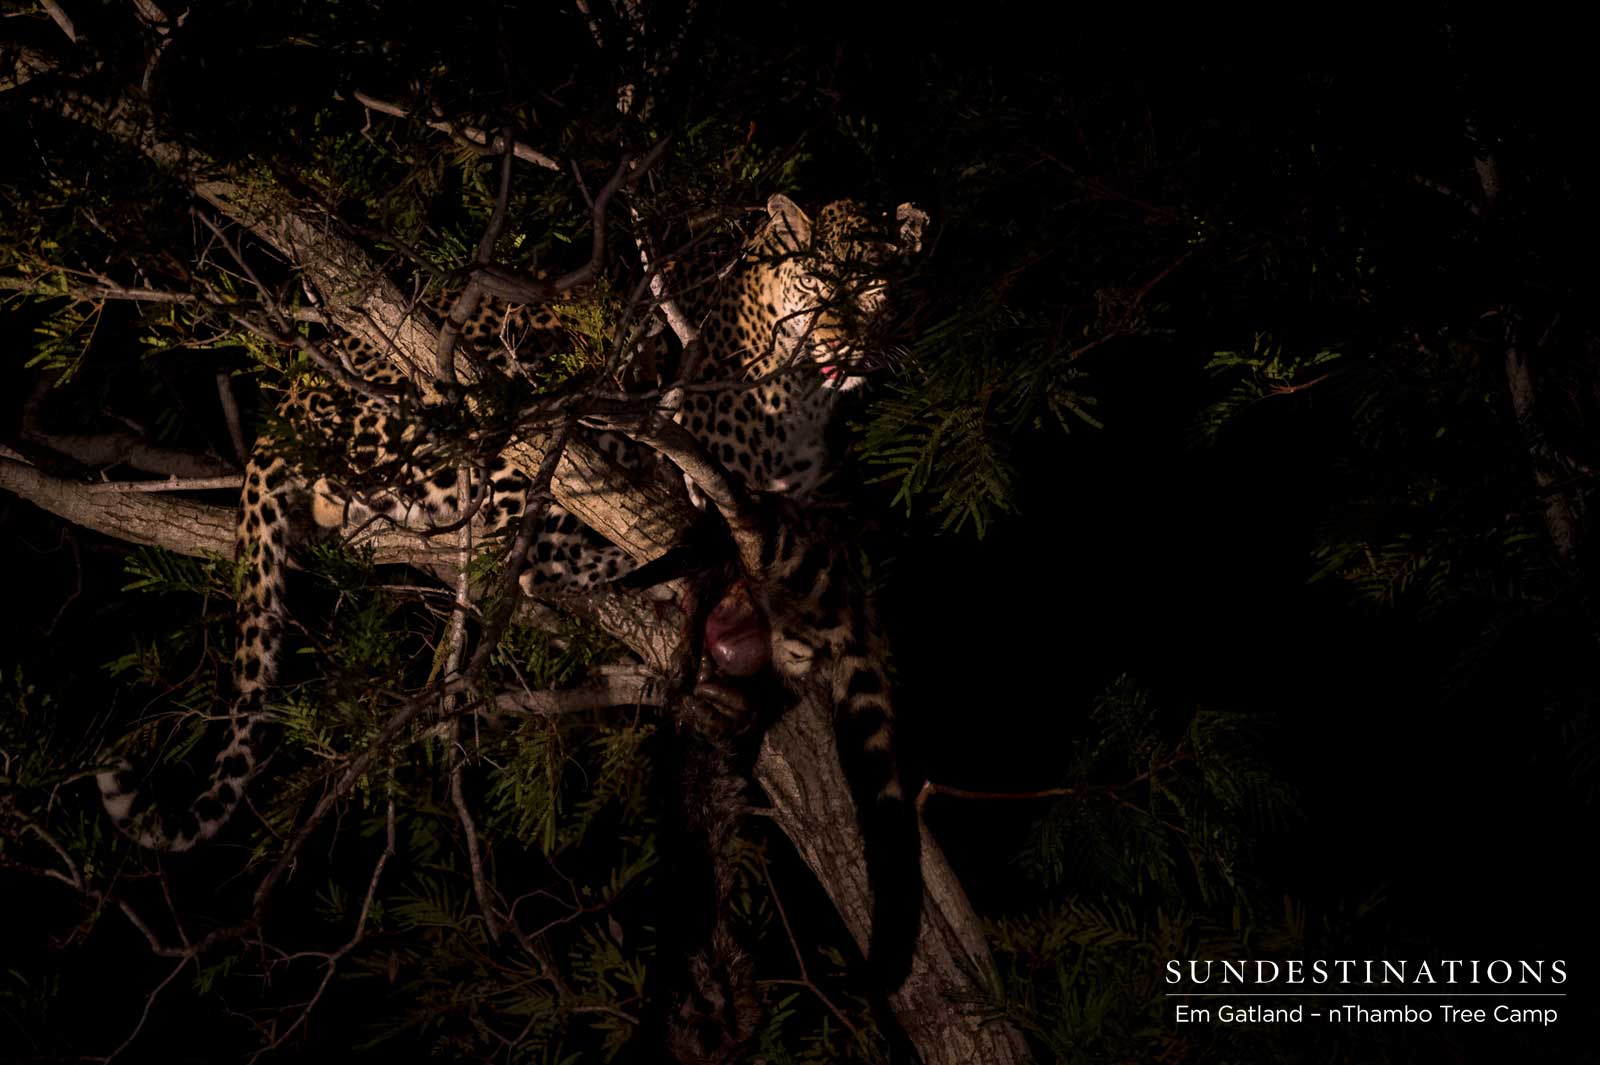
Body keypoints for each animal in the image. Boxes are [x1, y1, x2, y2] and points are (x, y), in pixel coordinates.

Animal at [95, 192, 928, 975]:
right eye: (817, 283)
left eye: (874, 286)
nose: (844, 341)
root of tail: (288, 407)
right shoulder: (702, 465)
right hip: (498, 416)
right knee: (523, 537)